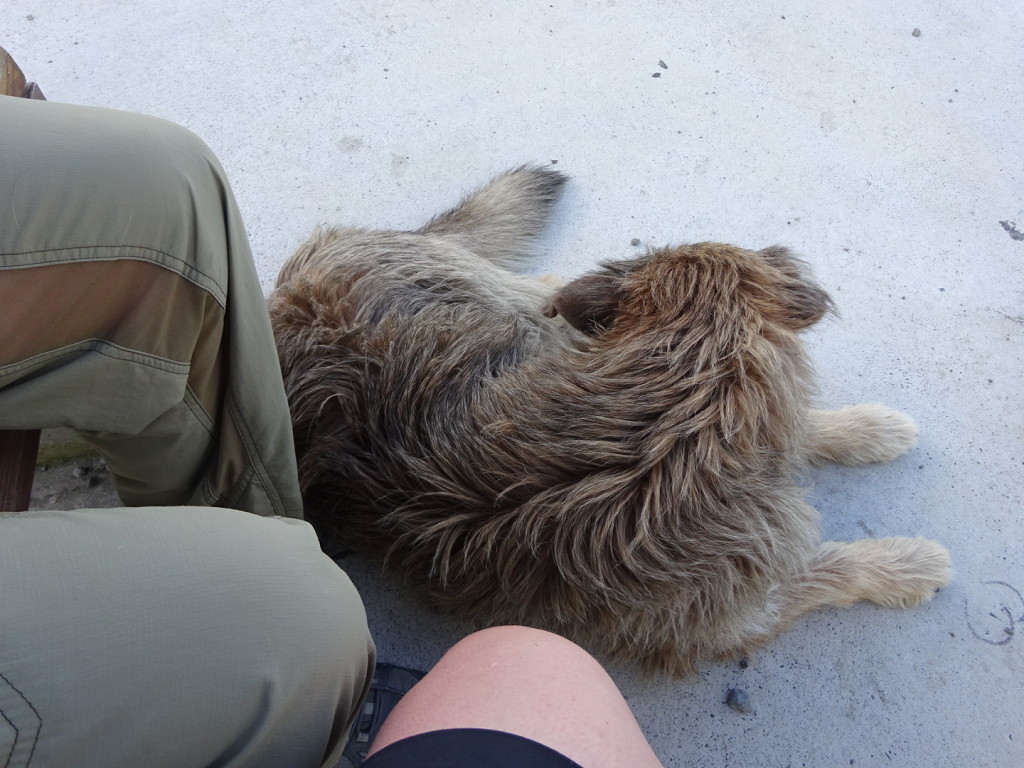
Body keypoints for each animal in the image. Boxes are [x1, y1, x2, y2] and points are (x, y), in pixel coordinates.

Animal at [272, 165, 950, 675]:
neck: (674, 425)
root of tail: (287, 291)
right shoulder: (746, 614)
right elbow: (832, 569)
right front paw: (907, 564)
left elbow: (805, 428)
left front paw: (867, 430)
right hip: (499, 304)